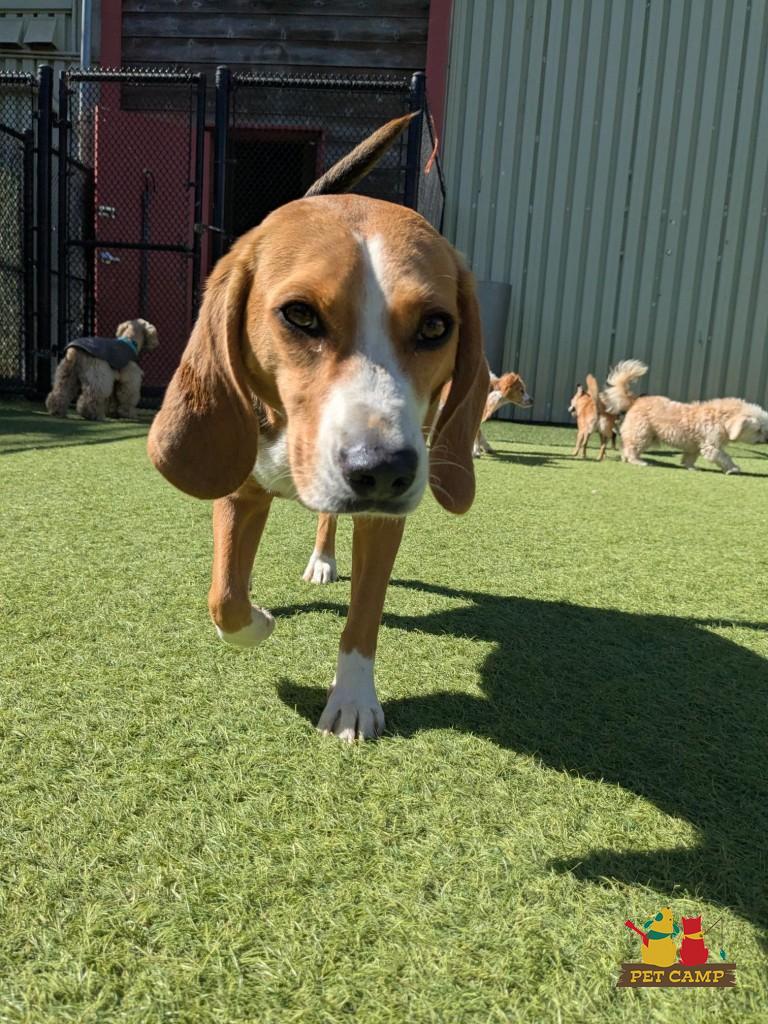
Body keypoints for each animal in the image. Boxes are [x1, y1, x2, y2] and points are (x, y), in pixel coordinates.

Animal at [147, 114, 489, 742]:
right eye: (300, 315)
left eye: (436, 326)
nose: (383, 470)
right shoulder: (239, 491)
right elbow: (225, 597)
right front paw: (258, 621)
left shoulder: (381, 520)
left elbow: (364, 617)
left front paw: (352, 700)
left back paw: (326, 559)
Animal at [604, 358, 768, 472]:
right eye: (758, 430)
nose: (766, 439)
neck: (721, 418)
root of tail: (636, 400)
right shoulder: (711, 446)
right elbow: (724, 456)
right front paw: (733, 469)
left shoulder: (694, 446)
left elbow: (690, 458)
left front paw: (691, 468)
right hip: (641, 433)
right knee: (631, 448)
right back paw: (638, 461)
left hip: (647, 435)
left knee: (626, 447)